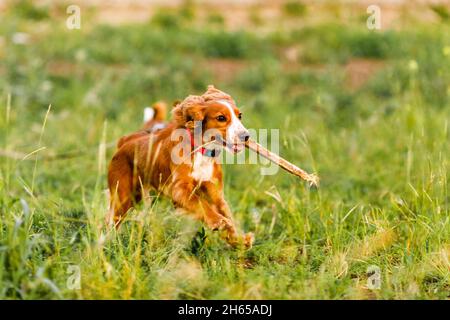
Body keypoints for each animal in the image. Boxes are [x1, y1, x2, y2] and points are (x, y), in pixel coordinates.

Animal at [106, 86, 253, 249]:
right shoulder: (179, 190)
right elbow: (201, 204)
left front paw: (239, 240)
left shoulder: (214, 192)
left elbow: (226, 214)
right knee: (111, 221)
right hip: (122, 197)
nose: (246, 136)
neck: (201, 151)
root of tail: (125, 141)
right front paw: (217, 221)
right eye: (221, 118)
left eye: (239, 116)